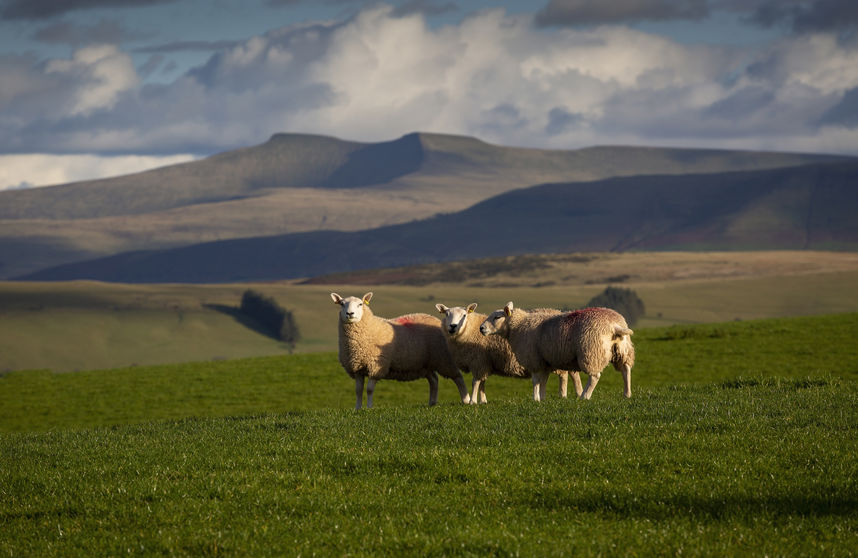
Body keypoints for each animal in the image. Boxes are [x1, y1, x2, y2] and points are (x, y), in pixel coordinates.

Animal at [332, 294, 472, 412]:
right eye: (342, 304)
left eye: (360, 304)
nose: (350, 313)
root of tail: (436, 319)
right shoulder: (357, 368)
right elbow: (358, 390)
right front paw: (357, 409)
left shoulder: (376, 367)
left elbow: (370, 390)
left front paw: (369, 408)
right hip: (425, 364)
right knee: (434, 380)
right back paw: (432, 403)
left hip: (444, 357)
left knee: (458, 377)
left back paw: (466, 400)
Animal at [434, 304, 580, 404]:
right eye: (446, 314)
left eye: (464, 315)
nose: (453, 326)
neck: (470, 329)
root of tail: (559, 312)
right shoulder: (484, 363)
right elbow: (482, 383)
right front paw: (483, 401)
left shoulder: (478, 361)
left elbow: (475, 382)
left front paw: (472, 402)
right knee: (573, 374)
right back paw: (578, 393)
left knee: (564, 376)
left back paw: (562, 395)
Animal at [478, 304, 632, 400]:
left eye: (497, 317)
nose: (481, 328)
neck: (518, 327)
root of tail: (614, 326)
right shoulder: (544, 362)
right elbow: (543, 381)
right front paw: (542, 398)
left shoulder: (534, 360)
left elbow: (535, 381)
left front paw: (535, 398)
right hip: (623, 350)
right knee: (625, 369)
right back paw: (627, 394)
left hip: (591, 351)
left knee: (594, 376)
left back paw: (584, 396)